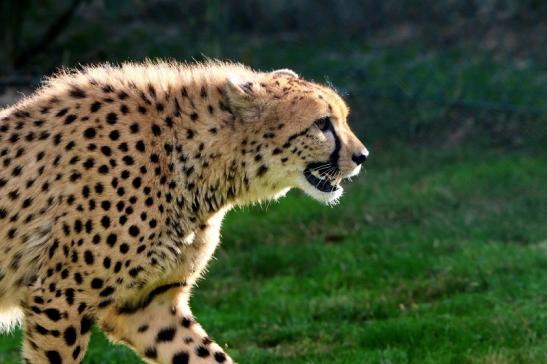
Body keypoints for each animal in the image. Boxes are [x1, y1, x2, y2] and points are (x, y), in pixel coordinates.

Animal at [1, 61, 368, 362]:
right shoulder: (61, 298)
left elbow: (206, 356)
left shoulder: (148, 305)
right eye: (322, 123)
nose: (362, 156)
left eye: (342, 119)